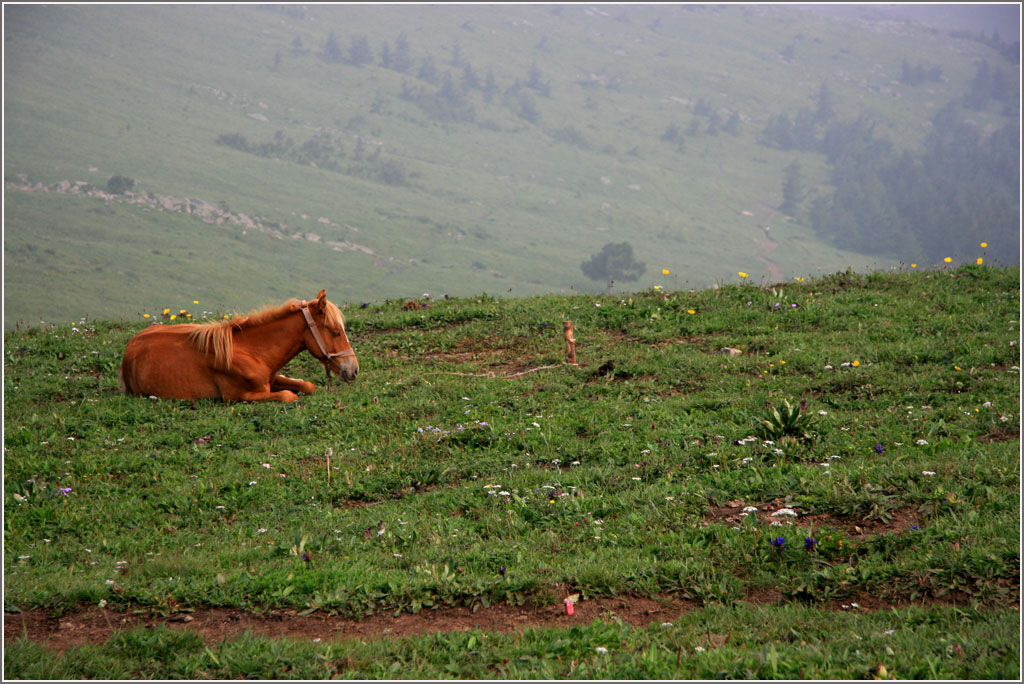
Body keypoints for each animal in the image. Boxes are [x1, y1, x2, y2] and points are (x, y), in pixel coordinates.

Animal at [119, 288, 358, 401]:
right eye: (336, 332)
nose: (354, 369)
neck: (250, 351)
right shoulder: (239, 397)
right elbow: (289, 395)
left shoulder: (271, 378)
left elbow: (307, 386)